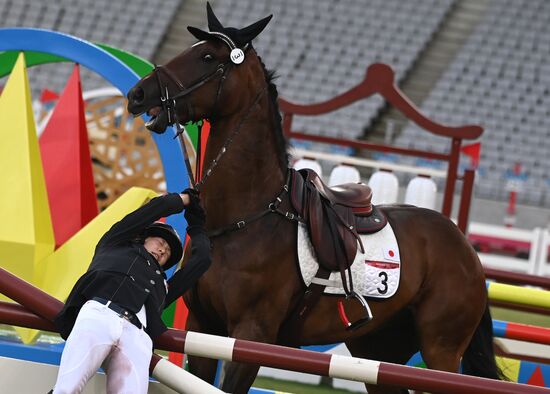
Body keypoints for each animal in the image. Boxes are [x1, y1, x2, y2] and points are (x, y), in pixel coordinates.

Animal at [128, 3, 504, 394]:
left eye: (206, 56)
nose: (139, 94)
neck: (247, 218)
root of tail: (465, 245)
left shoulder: (252, 336)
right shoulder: (203, 330)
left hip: (440, 351)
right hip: (377, 350)